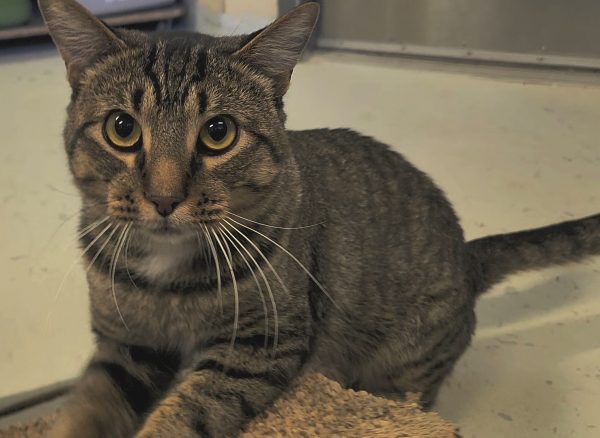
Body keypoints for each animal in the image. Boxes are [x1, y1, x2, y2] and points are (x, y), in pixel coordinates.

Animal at [37, 0, 600, 437]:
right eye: (122, 128)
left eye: (219, 132)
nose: (164, 197)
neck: (164, 274)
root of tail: (467, 257)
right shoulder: (124, 346)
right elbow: (86, 407)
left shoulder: (258, 346)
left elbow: (184, 415)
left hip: (402, 369)